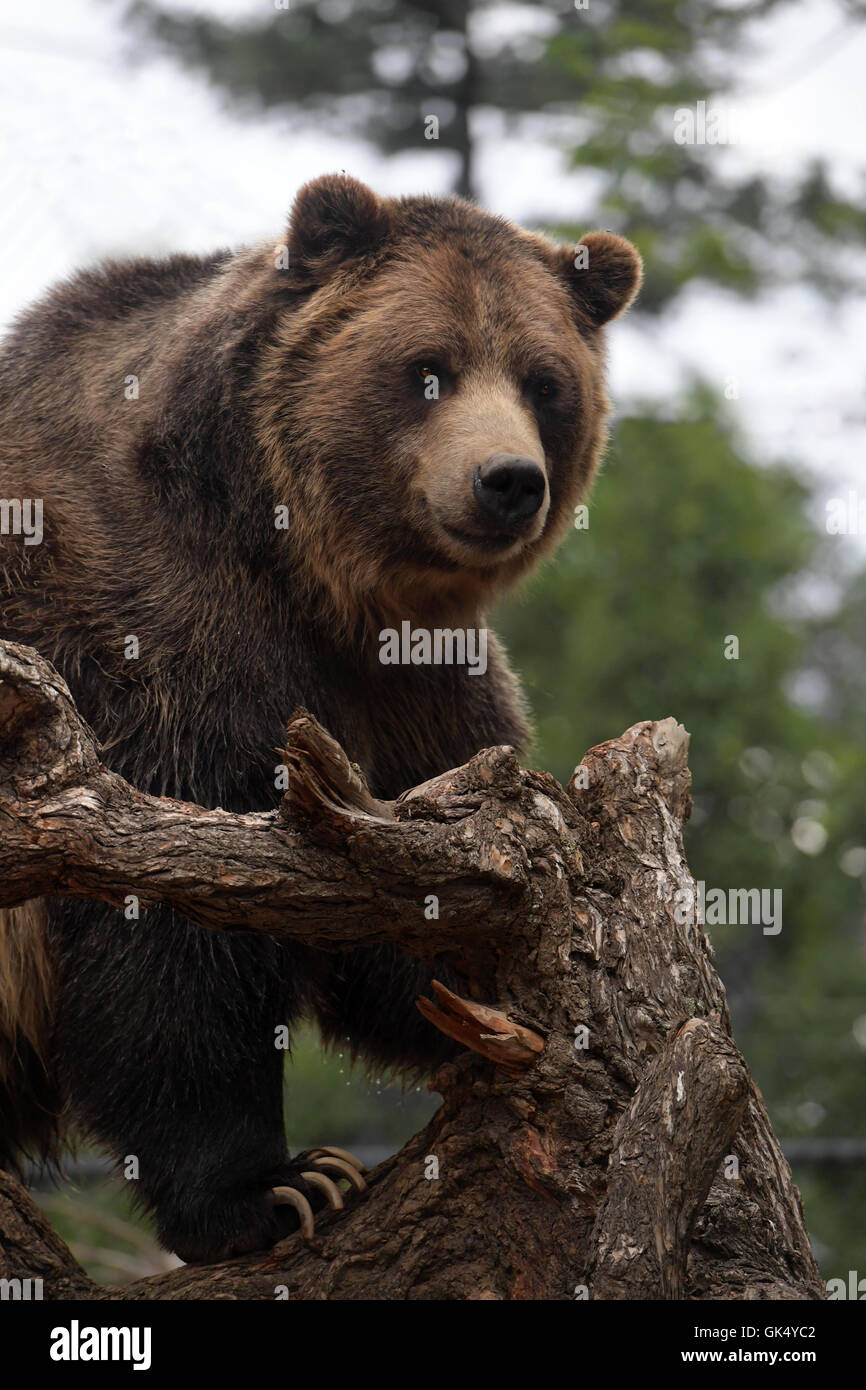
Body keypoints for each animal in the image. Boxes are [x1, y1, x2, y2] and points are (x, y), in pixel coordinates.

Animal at [0, 174, 641, 1262]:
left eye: (544, 381)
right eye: (426, 369)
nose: (507, 480)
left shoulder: (413, 692)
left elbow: (418, 858)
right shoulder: (132, 638)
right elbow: (164, 924)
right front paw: (273, 1186)